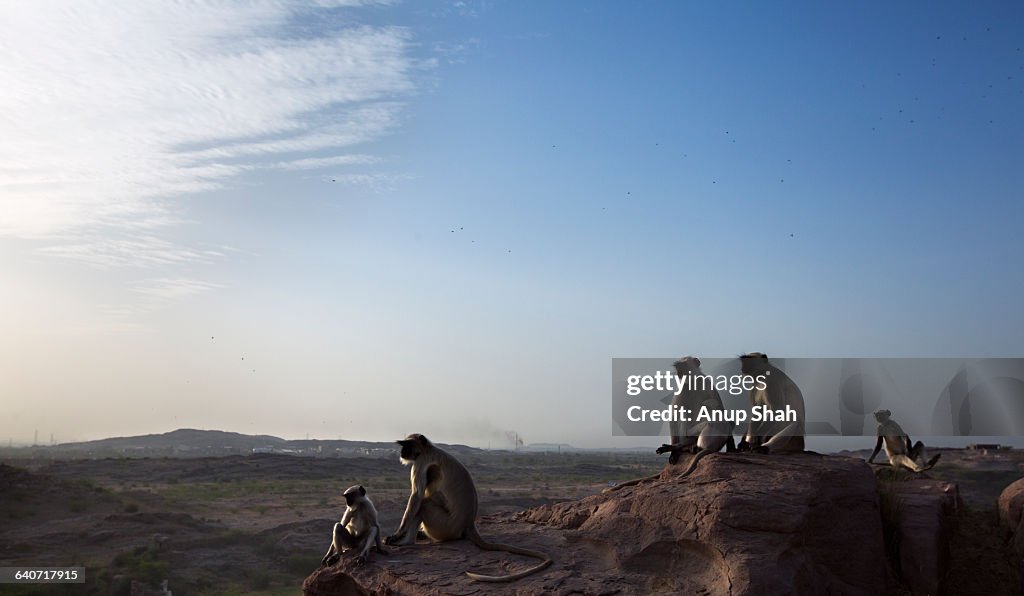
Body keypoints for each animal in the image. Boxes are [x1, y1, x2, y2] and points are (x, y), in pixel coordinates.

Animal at [385, 434, 548, 585]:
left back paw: (406, 542)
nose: (402, 452)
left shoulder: (420, 462)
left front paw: (397, 534)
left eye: (407, 445)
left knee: (424, 503)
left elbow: (416, 496)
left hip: (445, 526)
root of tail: (468, 523)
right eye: (403, 445)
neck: (429, 449)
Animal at [602, 354, 733, 495]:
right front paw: (673, 452)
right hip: (688, 433)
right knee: (684, 414)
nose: (678, 374)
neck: (692, 382)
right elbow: (674, 416)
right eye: (677, 367)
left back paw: (692, 446)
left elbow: (720, 410)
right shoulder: (682, 389)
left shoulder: (707, 383)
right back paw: (682, 447)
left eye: (682, 366)